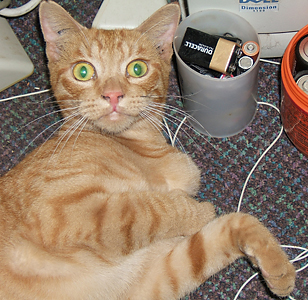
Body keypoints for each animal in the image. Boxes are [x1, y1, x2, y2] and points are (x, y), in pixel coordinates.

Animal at [0, 1, 294, 298]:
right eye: (82, 72)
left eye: (137, 69)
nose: (113, 95)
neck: (138, 144)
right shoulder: (63, 214)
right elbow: (149, 210)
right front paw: (198, 211)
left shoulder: (151, 279)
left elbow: (232, 226)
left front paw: (278, 267)